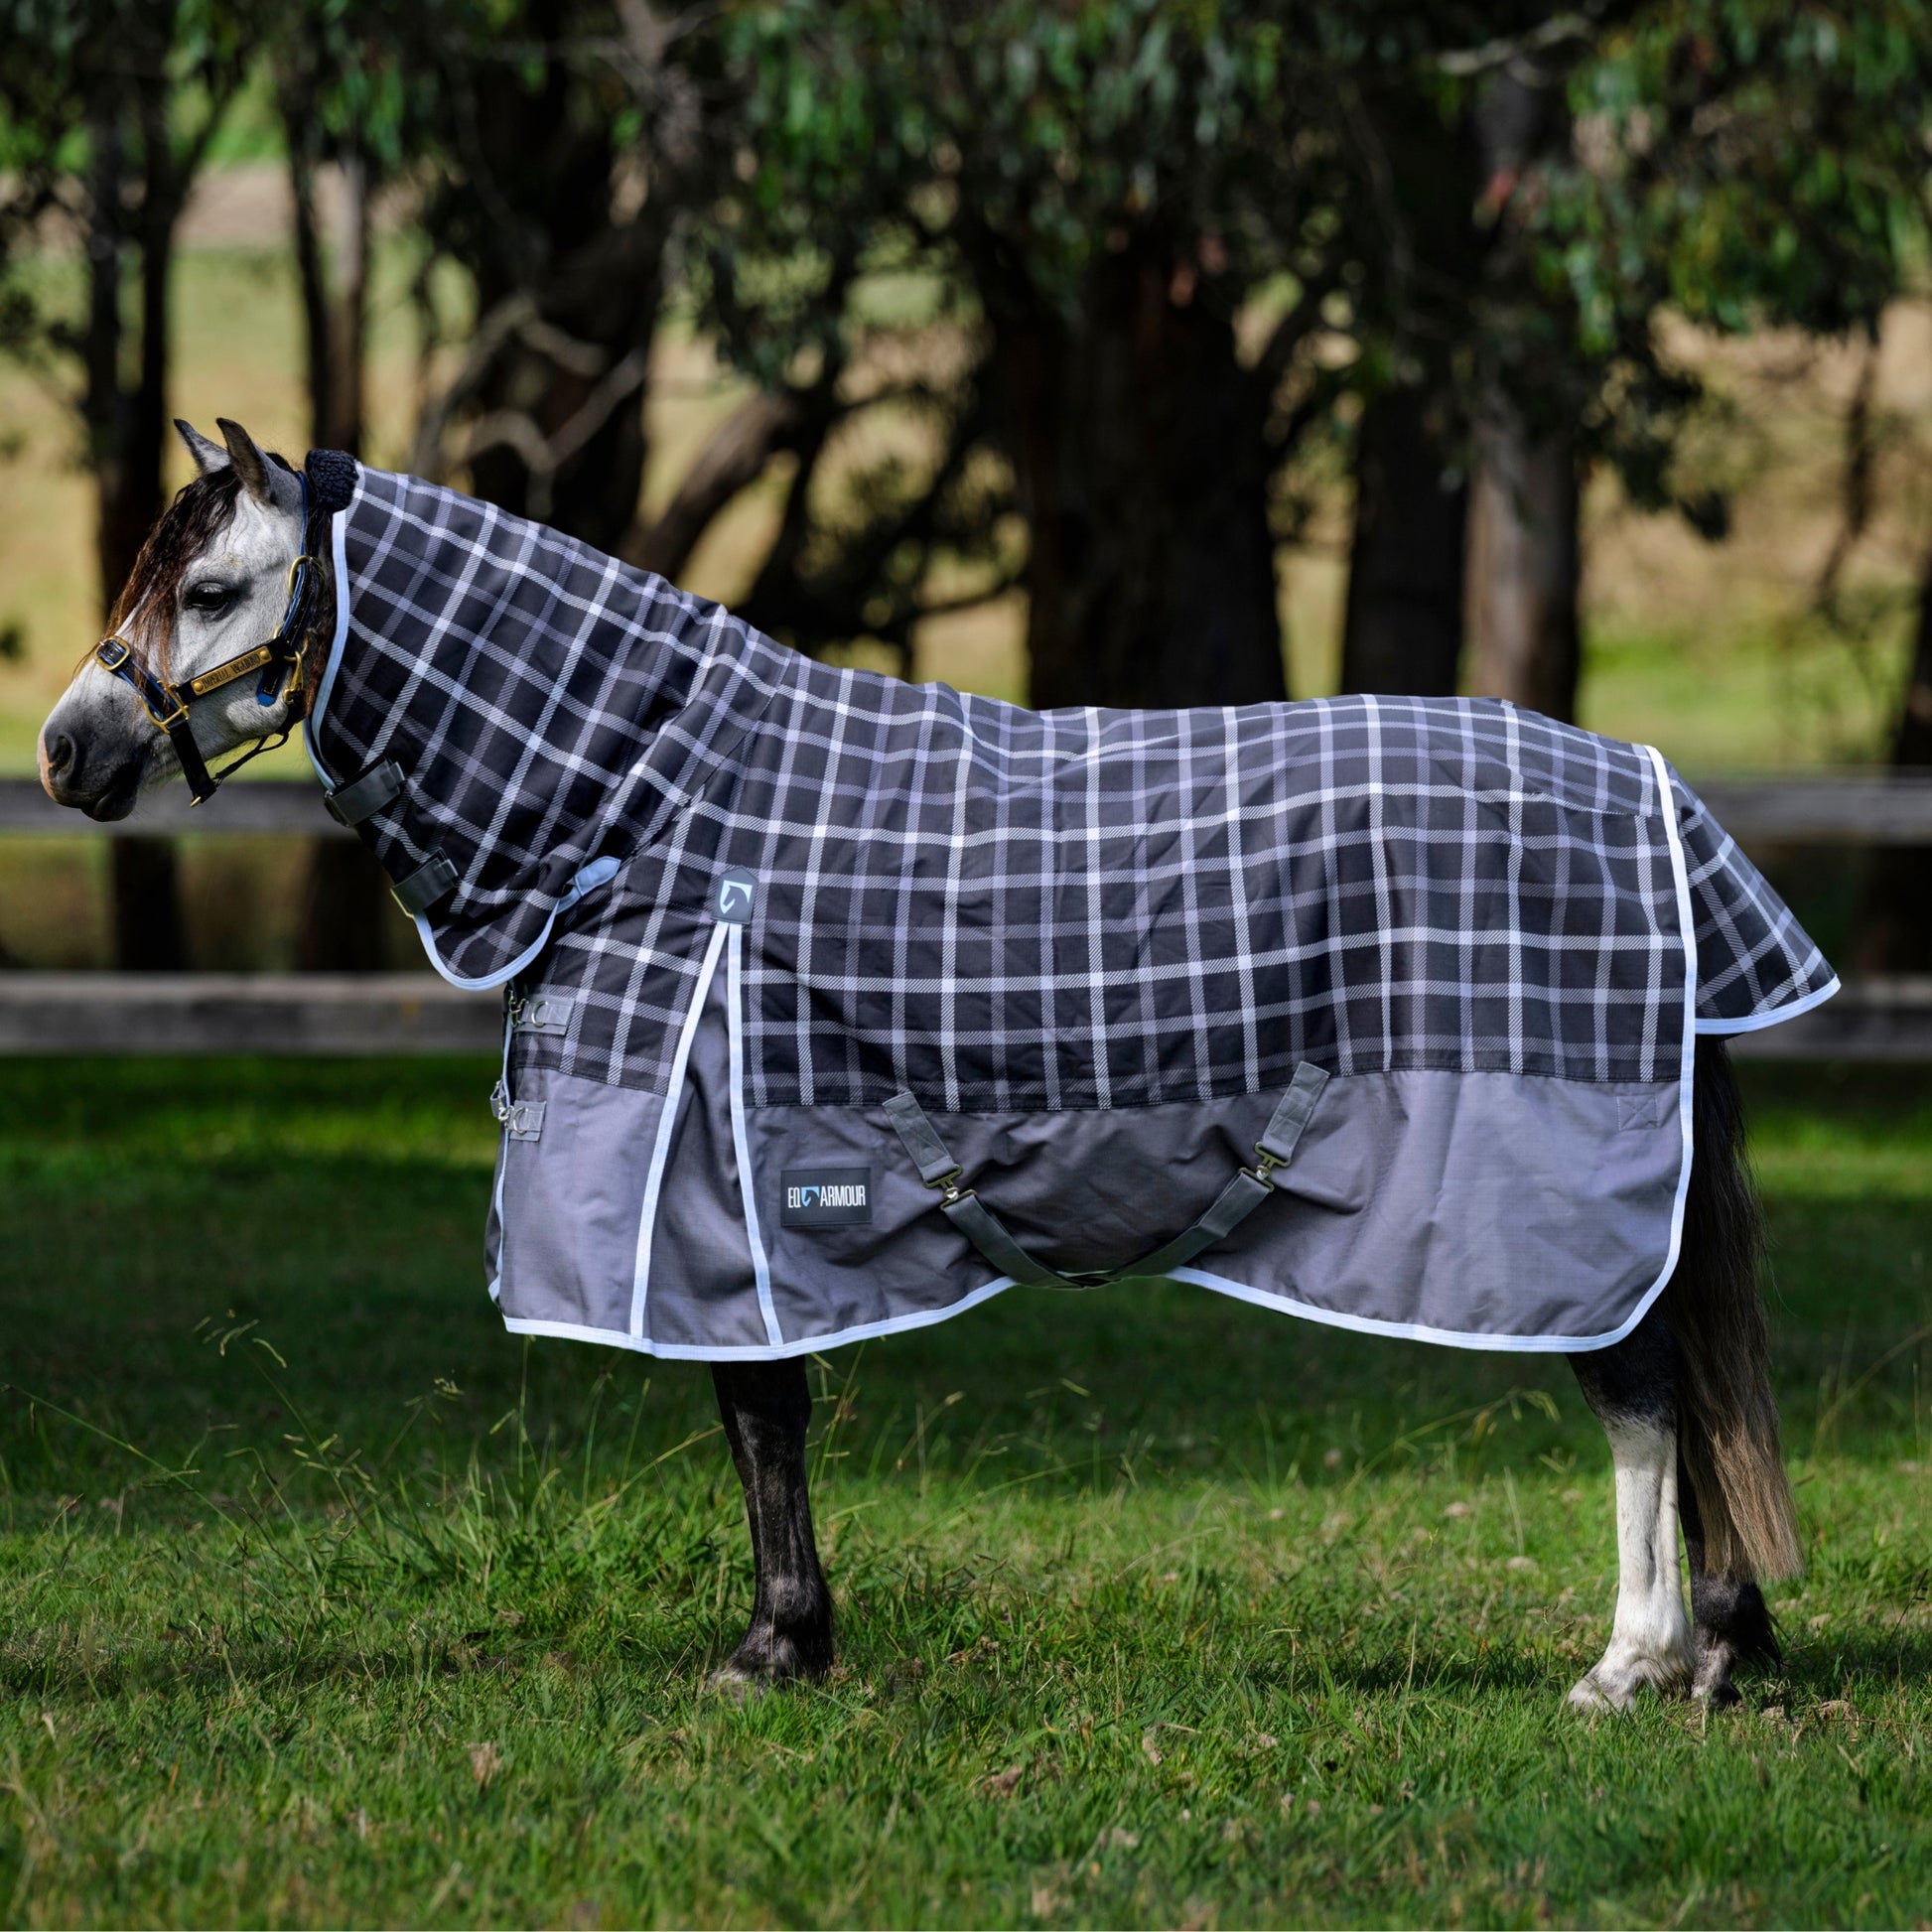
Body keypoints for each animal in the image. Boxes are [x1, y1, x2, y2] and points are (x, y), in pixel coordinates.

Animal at [40, 416, 1827, 1709]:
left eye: (212, 592)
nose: (66, 750)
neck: (661, 805)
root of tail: (1651, 795)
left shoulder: (723, 1180)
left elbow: (759, 1413)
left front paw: (775, 1648)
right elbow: (761, 1418)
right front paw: (791, 1639)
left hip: (1560, 1199)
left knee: (1641, 1391)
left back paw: (1632, 1663)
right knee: (1679, 1391)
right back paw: (1722, 1650)